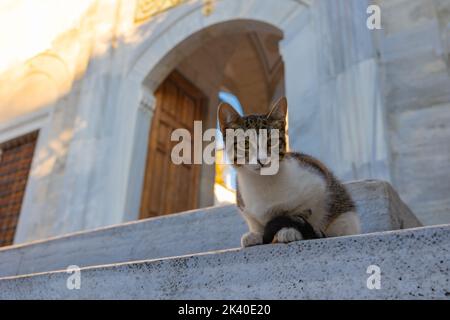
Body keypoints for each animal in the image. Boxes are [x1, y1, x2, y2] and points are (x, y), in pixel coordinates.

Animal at [216, 97, 360, 248]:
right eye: (245, 144)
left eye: (271, 141)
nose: (262, 160)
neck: (261, 182)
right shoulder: (245, 208)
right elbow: (255, 222)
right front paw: (256, 234)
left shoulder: (318, 185)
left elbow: (303, 213)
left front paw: (290, 230)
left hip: (346, 218)